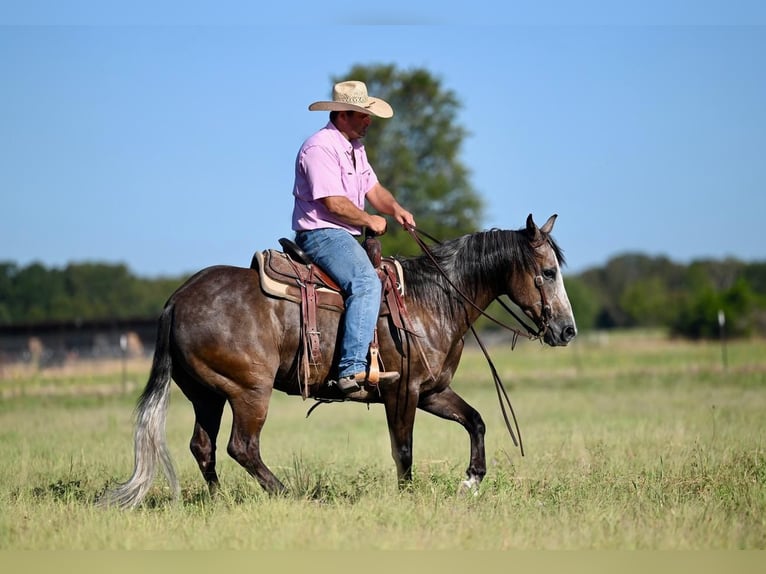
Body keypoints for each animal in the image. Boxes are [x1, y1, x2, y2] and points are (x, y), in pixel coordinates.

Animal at [105, 215, 580, 508]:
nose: (567, 330)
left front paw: (471, 481)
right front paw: (408, 497)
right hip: (248, 391)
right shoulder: (401, 391)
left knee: (203, 447)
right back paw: (288, 494)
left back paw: (219, 500)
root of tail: (178, 299)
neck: (431, 299)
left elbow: (476, 421)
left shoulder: (432, 391)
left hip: (208, 394)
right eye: (548, 272)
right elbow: (403, 449)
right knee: (242, 446)